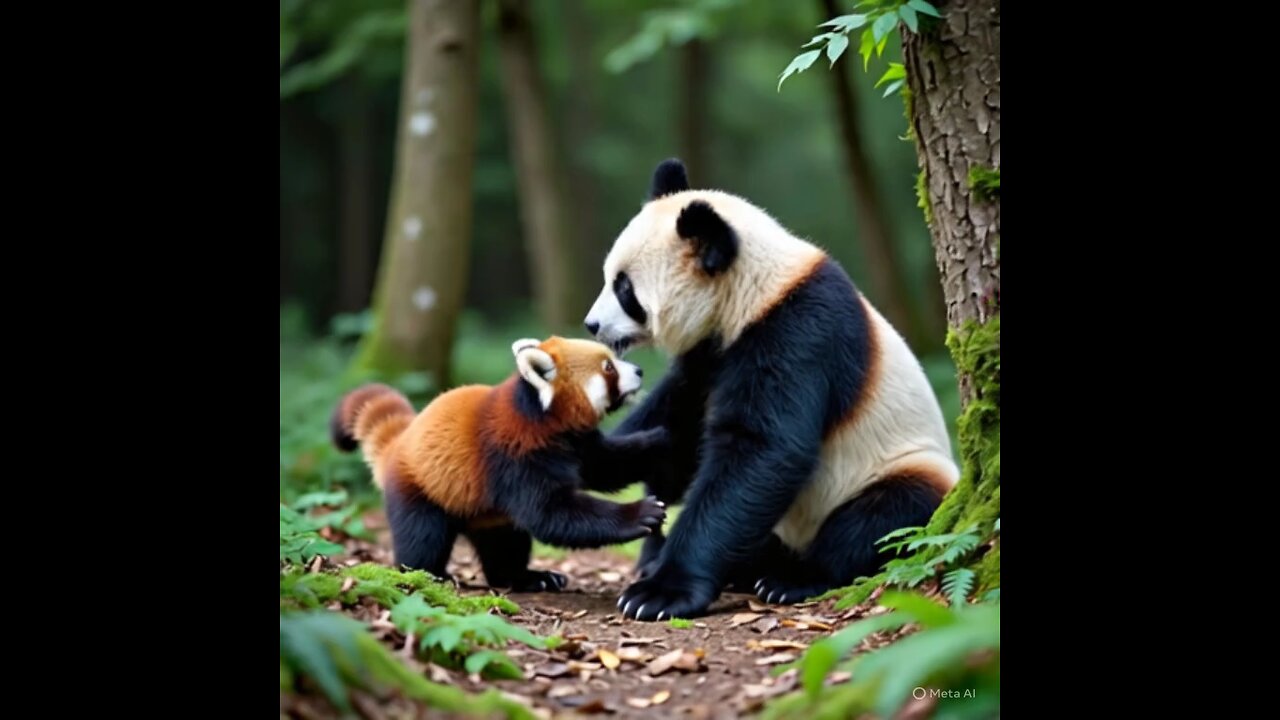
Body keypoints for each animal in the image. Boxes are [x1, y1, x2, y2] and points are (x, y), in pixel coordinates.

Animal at [330, 336, 669, 592]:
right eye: (609, 367)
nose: (639, 370)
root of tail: (400, 442)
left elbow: (608, 466)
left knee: (505, 545)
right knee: (422, 537)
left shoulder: (579, 444)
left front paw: (665, 438)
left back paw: (527, 577)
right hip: (419, 489)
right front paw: (640, 513)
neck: (543, 419)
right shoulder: (514, 457)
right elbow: (553, 514)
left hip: (488, 516)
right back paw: (429, 574)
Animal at [583, 159, 959, 620]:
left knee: (881, 518)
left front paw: (660, 594)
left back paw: (792, 579)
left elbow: (762, 449)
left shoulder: (799, 331)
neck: (759, 287)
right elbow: (678, 417)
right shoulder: (710, 352)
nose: (592, 325)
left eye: (624, 289)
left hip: (904, 467)